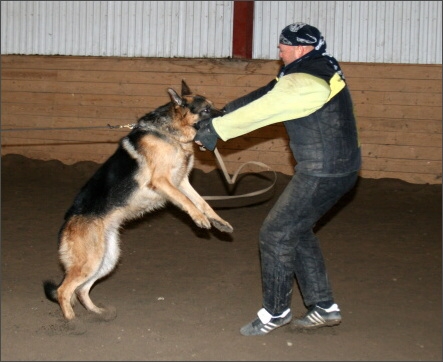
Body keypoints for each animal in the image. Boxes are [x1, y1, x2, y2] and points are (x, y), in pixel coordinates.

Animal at [43, 81, 234, 320]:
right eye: (207, 110)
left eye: (214, 106)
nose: (226, 114)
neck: (169, 133)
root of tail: (67, 224)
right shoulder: (163, 182)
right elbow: (187, 202)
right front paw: (200, 219)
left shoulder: (181, 182)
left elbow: (202, 202)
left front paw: (219, 222)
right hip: (90, 262)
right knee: (63, 290)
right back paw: (72, 323)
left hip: (106, 260)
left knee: (81, 290)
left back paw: (99, 314)